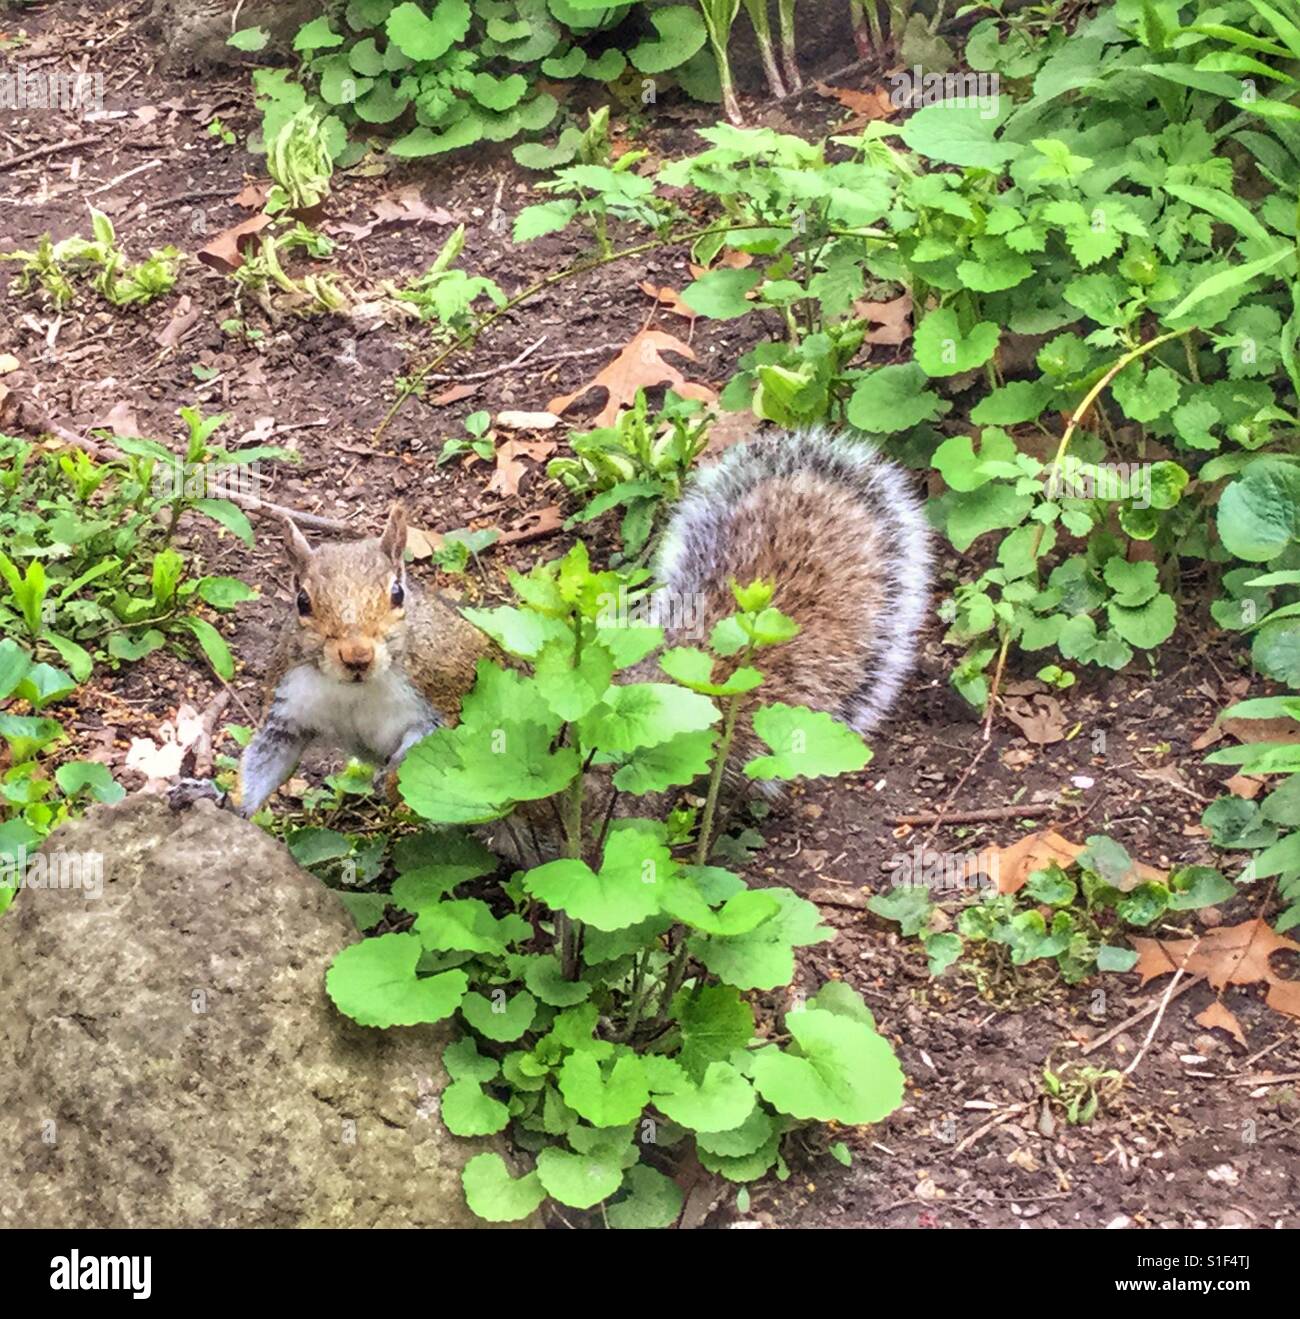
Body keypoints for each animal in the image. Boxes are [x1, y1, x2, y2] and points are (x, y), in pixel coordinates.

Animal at [236, 428, 931, 817]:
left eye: (399, 593)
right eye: (302, 603)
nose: (355, 656)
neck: (355, 693)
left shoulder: (448, 685)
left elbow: (435, 738)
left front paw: (393, 771)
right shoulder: (292, 701)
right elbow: (270, 758)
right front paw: (228, 802)